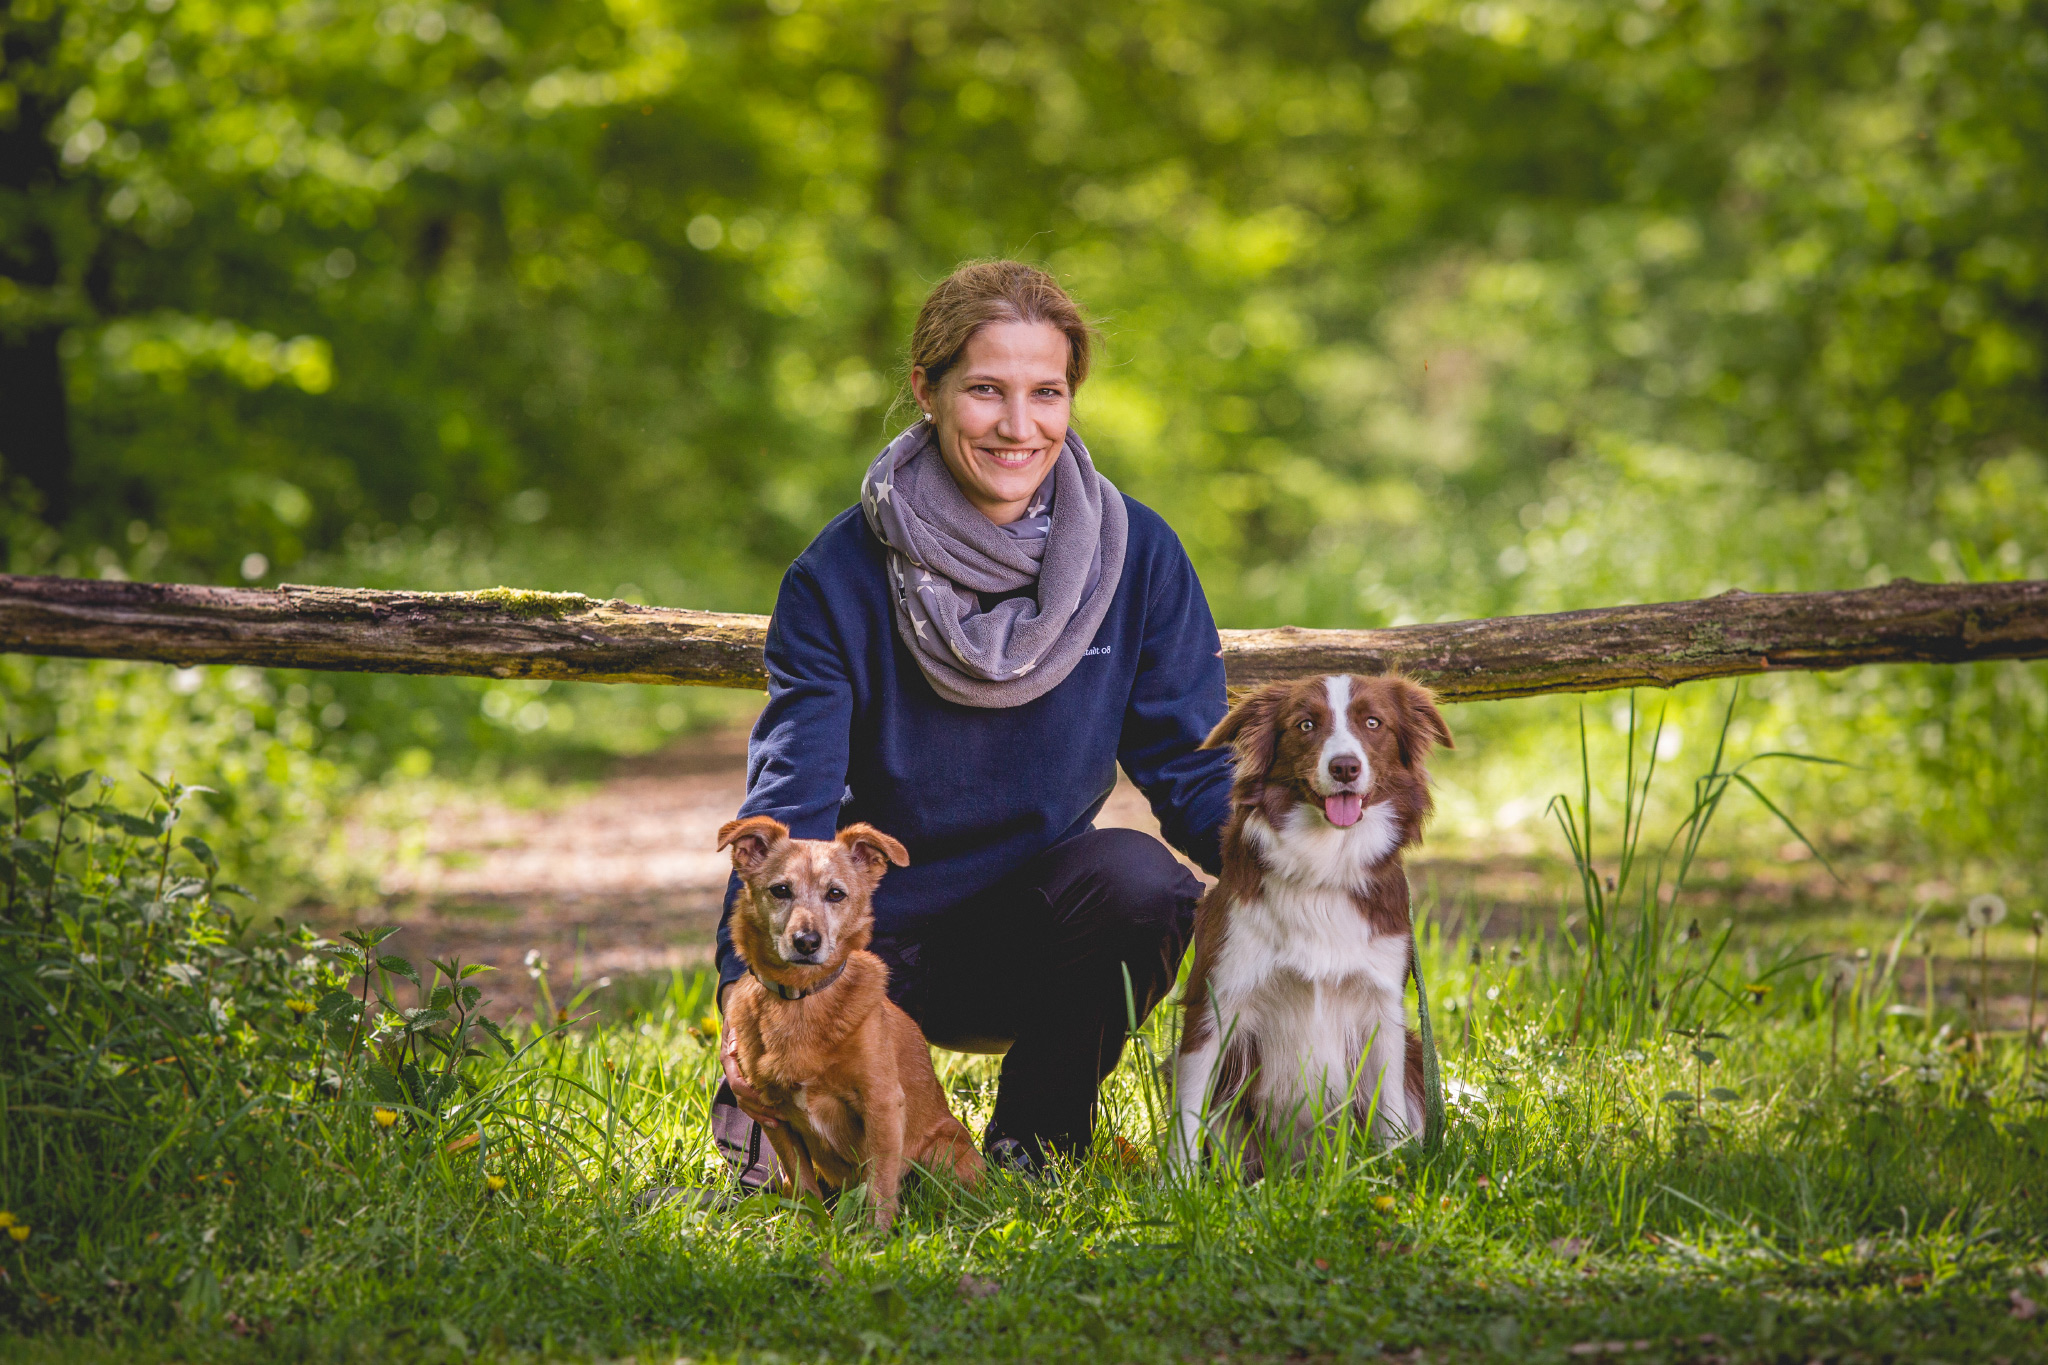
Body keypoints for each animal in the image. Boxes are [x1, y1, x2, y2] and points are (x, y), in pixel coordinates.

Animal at [716, 818, 978, 1236]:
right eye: (780, 890)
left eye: (836, 894)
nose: (807, 942)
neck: (801, 1001)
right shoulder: (774, 1117)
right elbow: (804, 1187)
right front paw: (813, 1235)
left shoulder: (882, 1105)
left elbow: (880, 1186)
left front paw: (875, 1240)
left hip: (942, 1155)